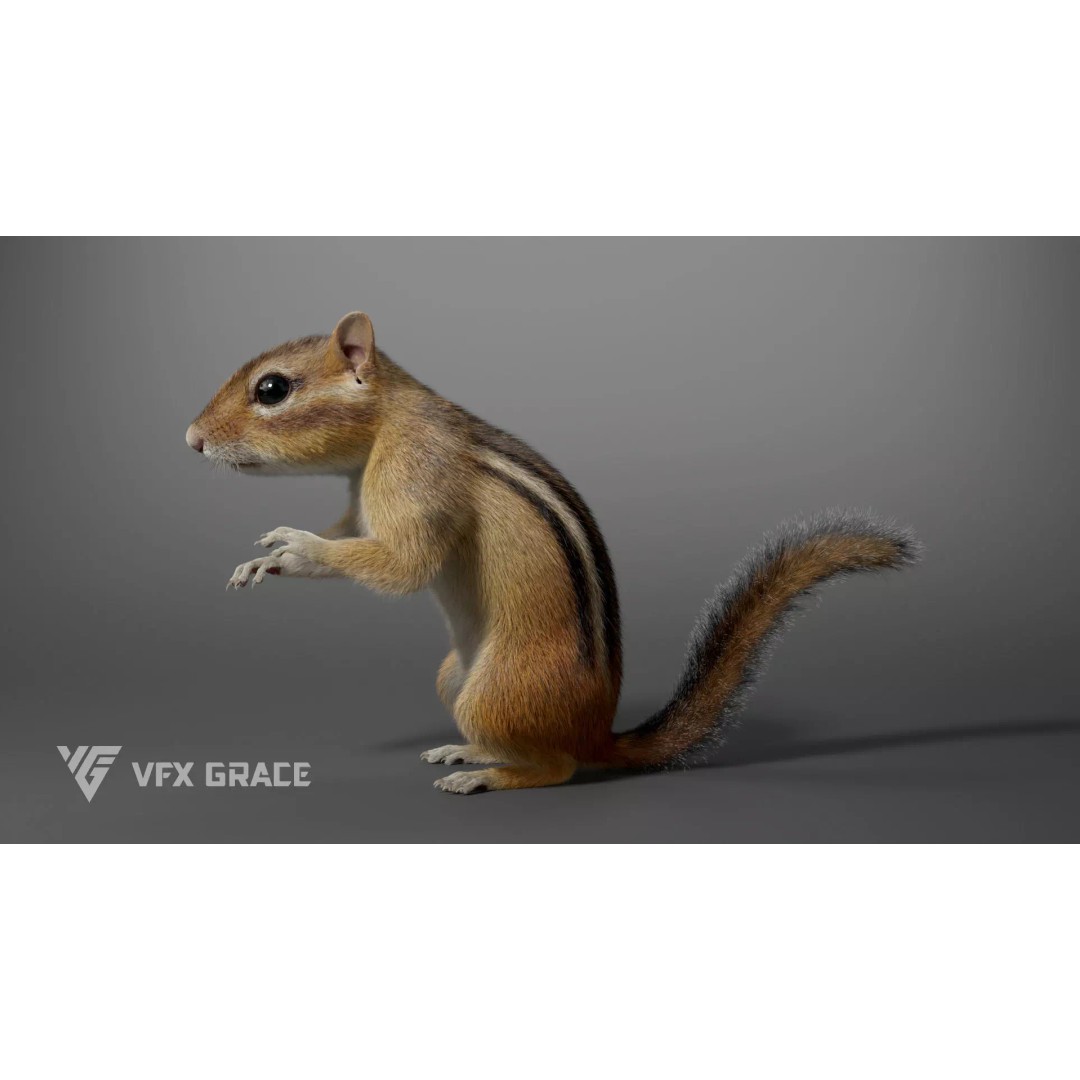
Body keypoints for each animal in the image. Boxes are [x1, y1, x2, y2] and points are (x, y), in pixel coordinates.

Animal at [186, 311, 920, 795]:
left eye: (273, 389)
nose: (190, 439)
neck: (388, 422)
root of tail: (596, 731)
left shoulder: (417, 469)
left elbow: (404, 564)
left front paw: (294, 551)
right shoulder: (358, 504)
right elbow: (350, 533)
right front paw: (268, 553)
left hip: (496, 691)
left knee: (557, 768)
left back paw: (487, 777)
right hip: (454, 679)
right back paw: (465, 752)